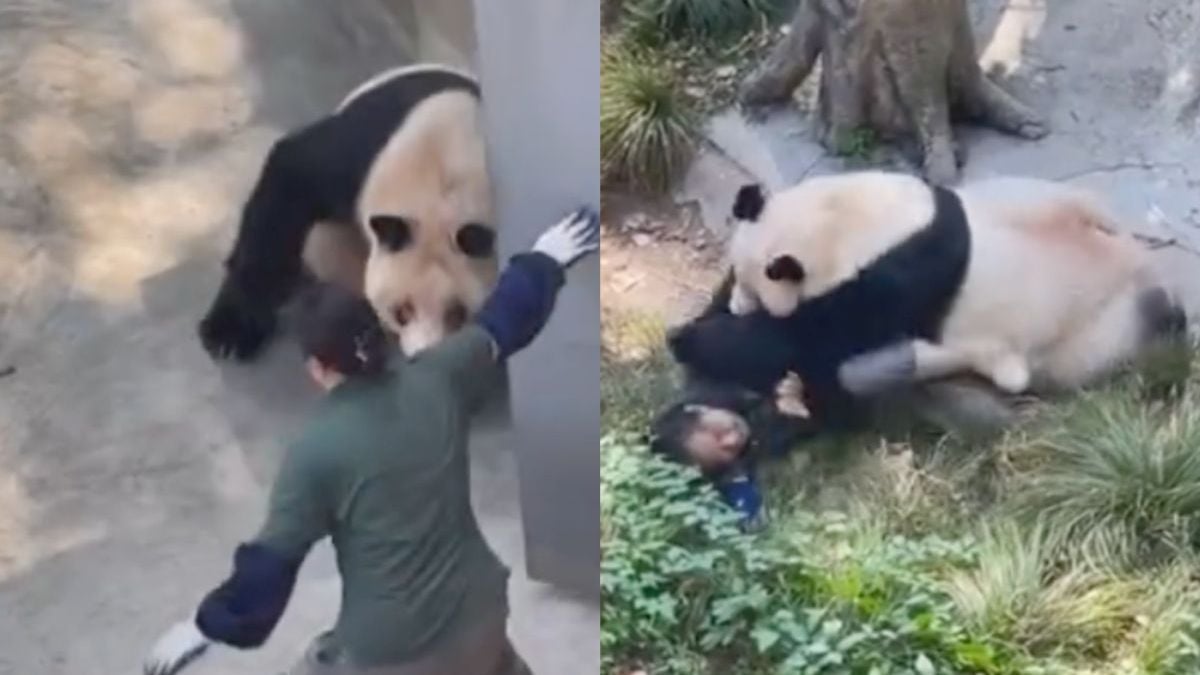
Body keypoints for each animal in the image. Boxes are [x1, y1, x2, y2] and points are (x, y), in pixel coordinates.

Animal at [198, 63, 496, 360]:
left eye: (458, 314)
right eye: (401, 312)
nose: (423, 354)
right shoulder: (371, 150)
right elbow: (292, 173)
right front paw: (230, 331)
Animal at [720, 170, 1190, 396]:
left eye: (753, 289)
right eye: (736, 274)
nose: (737, 306)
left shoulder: (888, 280)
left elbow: (818, 337)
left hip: (1090, 332)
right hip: (1041, 199)